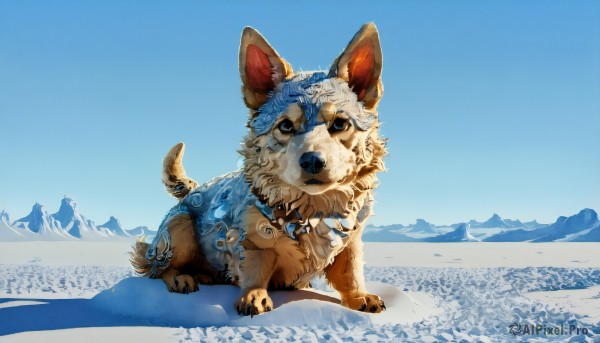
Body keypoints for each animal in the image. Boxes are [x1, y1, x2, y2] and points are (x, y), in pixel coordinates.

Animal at [130, 21, 390, 318]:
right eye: (285, 126)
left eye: (339, 124)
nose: (312, 161)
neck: (312, 210)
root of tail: (191, 191)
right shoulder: (252, 240)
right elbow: (256, 269)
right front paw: (254, 297)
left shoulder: (352, 241)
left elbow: (351, 273)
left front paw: (360, 297)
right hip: (178, 230)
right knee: (156, 268)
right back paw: (181, 277)